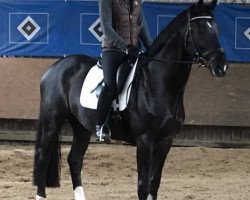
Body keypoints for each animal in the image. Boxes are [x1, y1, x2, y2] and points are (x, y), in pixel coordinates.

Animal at [33, 0, 229, 199]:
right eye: (200, 29)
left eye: (217, 29)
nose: (221, 66)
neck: (157, 83)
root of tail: (54, 67)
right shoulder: (144, 140)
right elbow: (143, 186)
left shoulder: (165, 142)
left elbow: (154, 184)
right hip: (52, 120)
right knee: (43, 156)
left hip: (81, 126)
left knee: (75, 159)